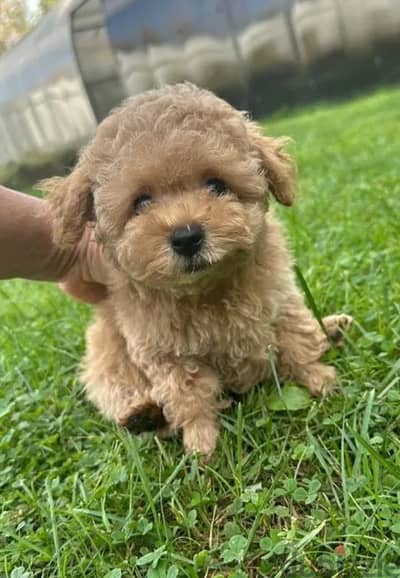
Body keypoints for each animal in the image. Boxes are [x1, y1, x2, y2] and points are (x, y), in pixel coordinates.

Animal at [43, 84, 350, 454]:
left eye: (216, 185)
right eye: (141, 202)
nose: (186, 236)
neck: (205, 289)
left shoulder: (281, 299)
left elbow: (297, 341)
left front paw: (319, 379)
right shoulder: (165, 353)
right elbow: (187, 394)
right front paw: (202, 442)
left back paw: (333, 328)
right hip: (107, 350)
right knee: (117, 384)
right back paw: (144, 415)